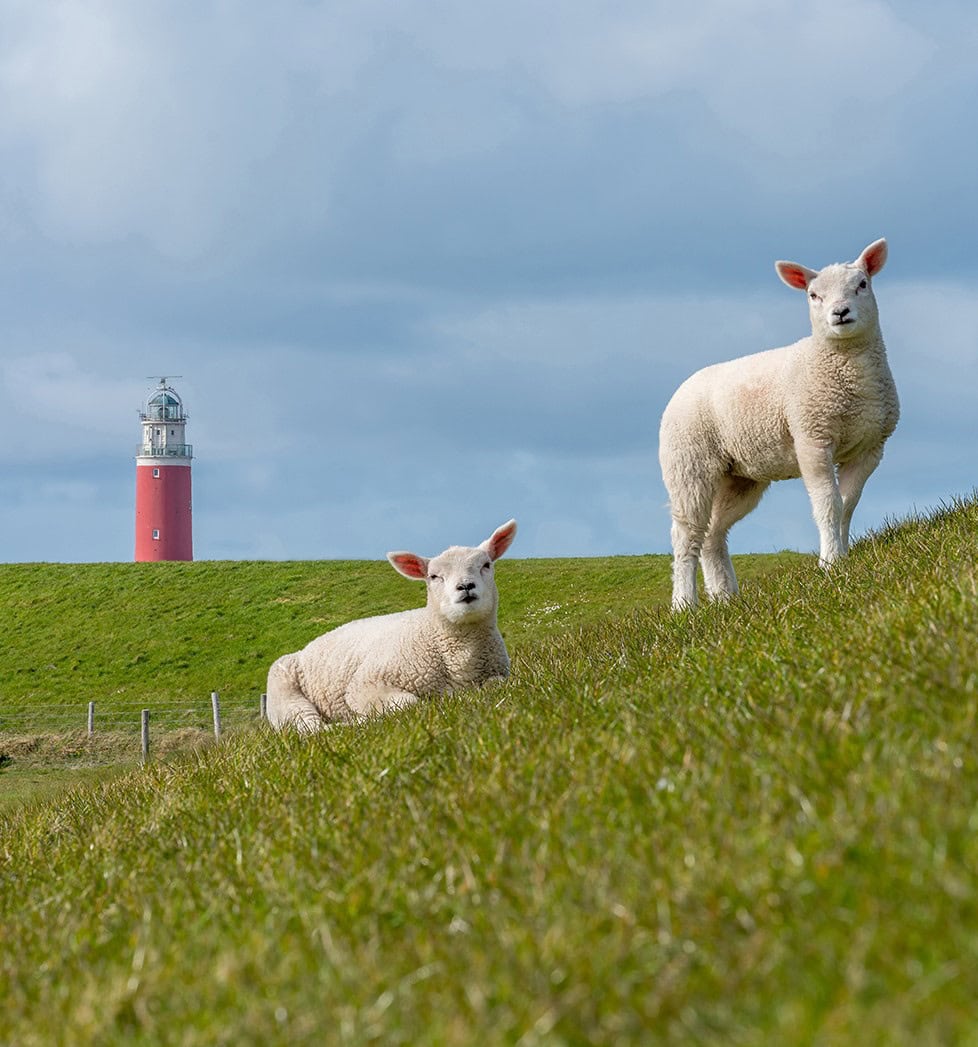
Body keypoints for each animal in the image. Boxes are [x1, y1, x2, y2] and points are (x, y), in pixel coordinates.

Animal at [263, 519, 517, 732]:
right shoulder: (363, 686)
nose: (465, 586)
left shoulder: (498, 674)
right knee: (309, 728)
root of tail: (303, 649)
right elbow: (410, 703)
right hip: (287, 698)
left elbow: (497, 685)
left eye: (486, 565)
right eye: (434, 576)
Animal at [661, 238, 900, 611]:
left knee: (713, 533)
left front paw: (844, 555)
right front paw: (829, 563)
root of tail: (681, 388)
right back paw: (685, 604)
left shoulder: (870, 447)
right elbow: (828, 503)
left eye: (862, 284)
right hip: (688, 465)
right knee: (686, 535)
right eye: (813, 295)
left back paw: (725, 597)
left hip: (740, 476)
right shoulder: (812, 438)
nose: (840, 313)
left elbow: (847, 504)